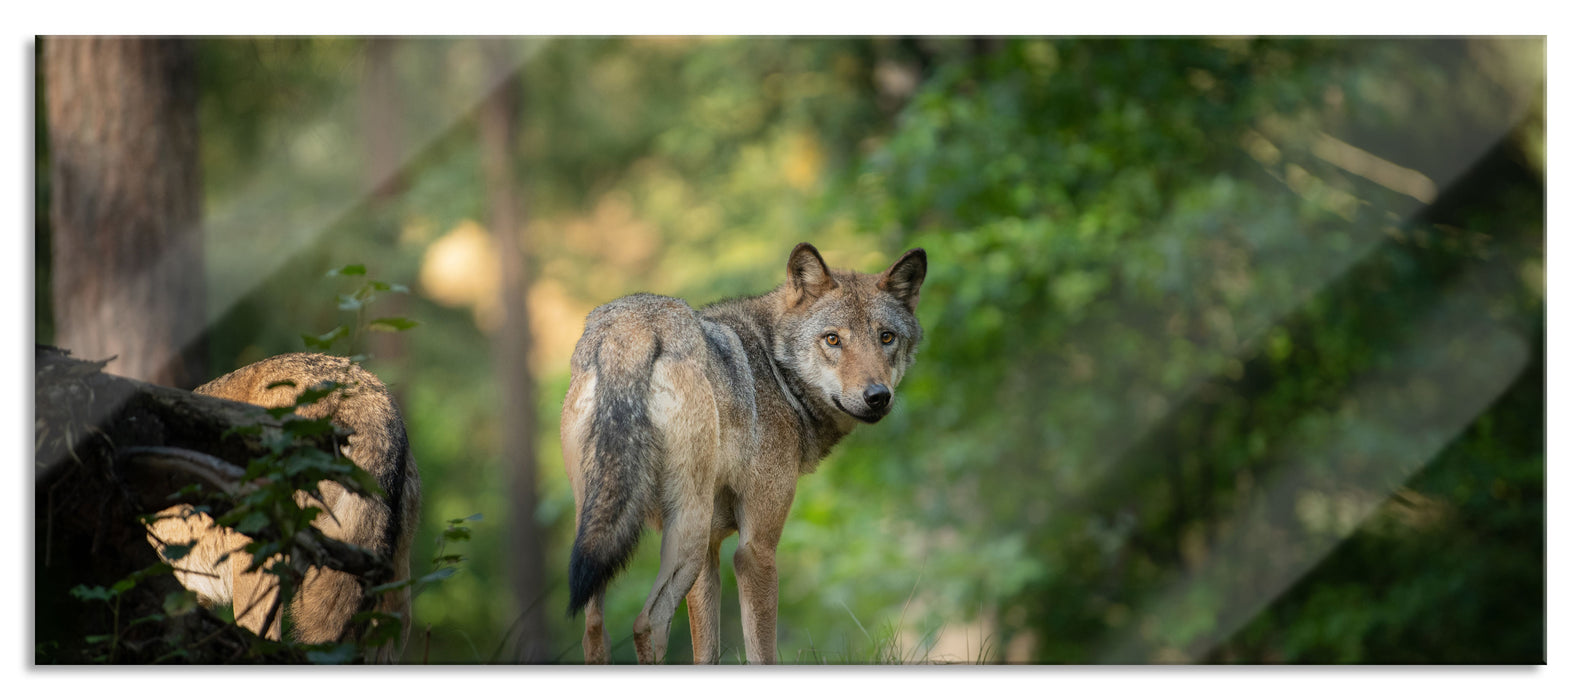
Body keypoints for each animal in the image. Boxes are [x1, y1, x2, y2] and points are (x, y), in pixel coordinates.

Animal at [563, 240, 923, 661]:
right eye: (833, 339)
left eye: (887, 337)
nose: (877, 396)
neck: (776, 369)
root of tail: (632, 328)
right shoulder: (755, 550)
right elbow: (761, 651)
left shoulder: (711, 553)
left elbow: (706, 652)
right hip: (687, 533)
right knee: (645, 623)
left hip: (602, 538)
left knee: (594, 629)